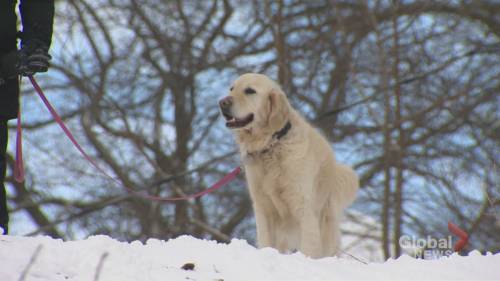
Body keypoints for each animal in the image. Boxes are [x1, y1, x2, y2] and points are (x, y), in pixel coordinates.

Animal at [220, 73, 360, 258]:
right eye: (231, 88)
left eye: (250, 91)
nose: (222, 102)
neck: (272, 143)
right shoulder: (263, 208)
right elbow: (266, 241)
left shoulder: (304, 208)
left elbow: (309, 246)